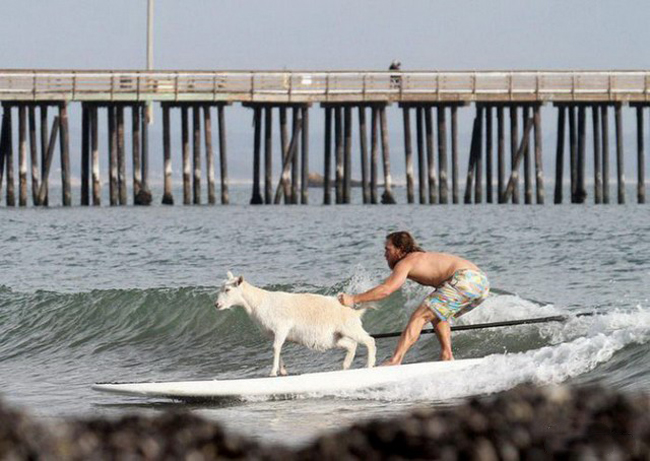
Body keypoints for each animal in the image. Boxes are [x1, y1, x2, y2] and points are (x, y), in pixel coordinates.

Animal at [213, 272, 374, 376]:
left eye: (228, 289)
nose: (216, 305)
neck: (258, 302)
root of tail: (355, 312)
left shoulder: (281, 327)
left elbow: (276, 347)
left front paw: (273, 372)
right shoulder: (273, 333)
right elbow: (276, 348)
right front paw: (282, 370)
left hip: (350, 327)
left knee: (369, 341)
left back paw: (369, 364)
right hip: (334, 337)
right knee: (352, 345)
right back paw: (345, 366)